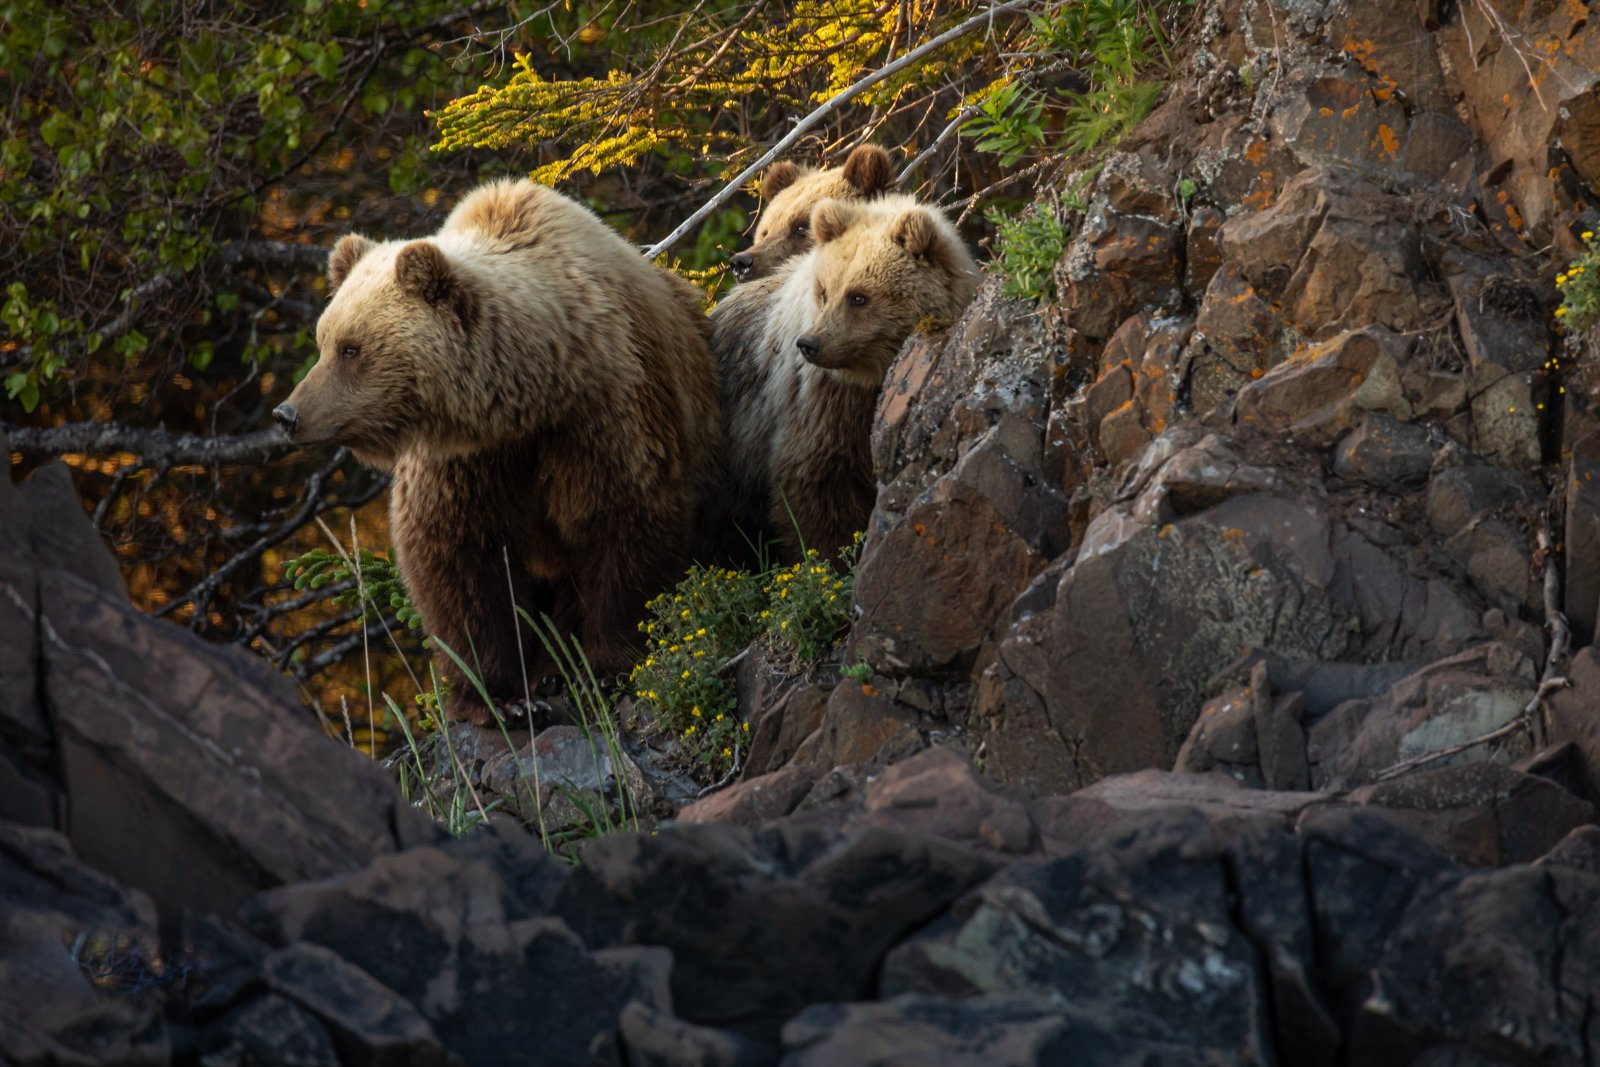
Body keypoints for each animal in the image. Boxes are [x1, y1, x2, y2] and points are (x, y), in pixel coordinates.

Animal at [275, 179, 720, 723]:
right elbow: (461, 558)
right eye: (325, 340)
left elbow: (624, 523)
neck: (535, 394)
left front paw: (604, 668)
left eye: (351, 348)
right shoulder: (468, 458)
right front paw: (502, 699)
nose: (287, 414)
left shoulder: (605, 414)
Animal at [713, 194, 972, 559]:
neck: (870, 379)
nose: (809, 344)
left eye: (858, 296)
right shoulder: (820, 406)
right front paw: (832, 555)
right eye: (824, 291)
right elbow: (815, 484)